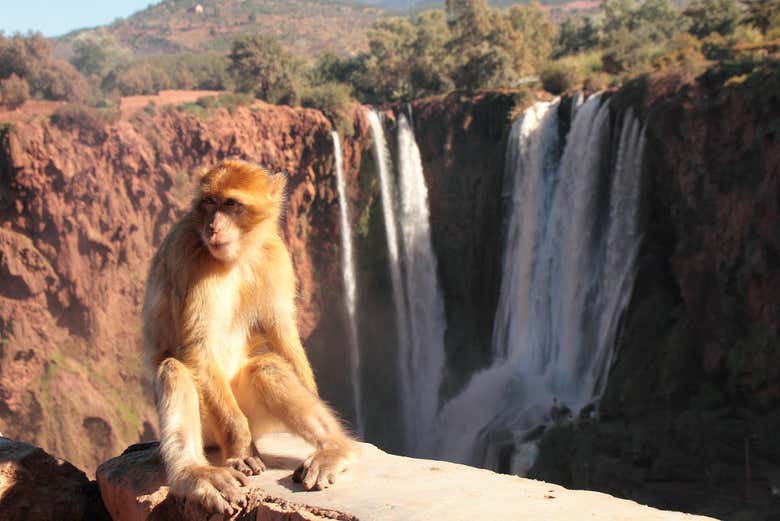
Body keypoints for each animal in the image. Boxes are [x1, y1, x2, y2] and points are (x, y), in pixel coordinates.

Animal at [142, 159, 358, 516]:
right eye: (208, 202)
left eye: (231, 204)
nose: (213, 227)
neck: (237, 256)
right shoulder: (187, 251)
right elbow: (198, 347)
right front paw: (240, 449)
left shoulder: (274, 254)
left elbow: (281, 330)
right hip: (212, 423)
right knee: (174, 370)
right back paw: (199, 473)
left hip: (256, 416)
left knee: (267, 367)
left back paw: (334, 448)